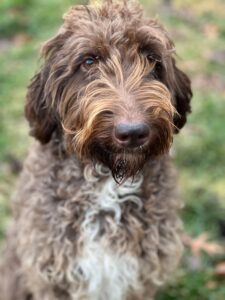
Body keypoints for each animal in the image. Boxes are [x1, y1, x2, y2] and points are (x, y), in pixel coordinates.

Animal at [0, 1, 192, 298]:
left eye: (151, 58)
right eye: (89, 61)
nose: (133, 132)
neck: (107, 185)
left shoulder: (139, 278)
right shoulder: (52, 276)